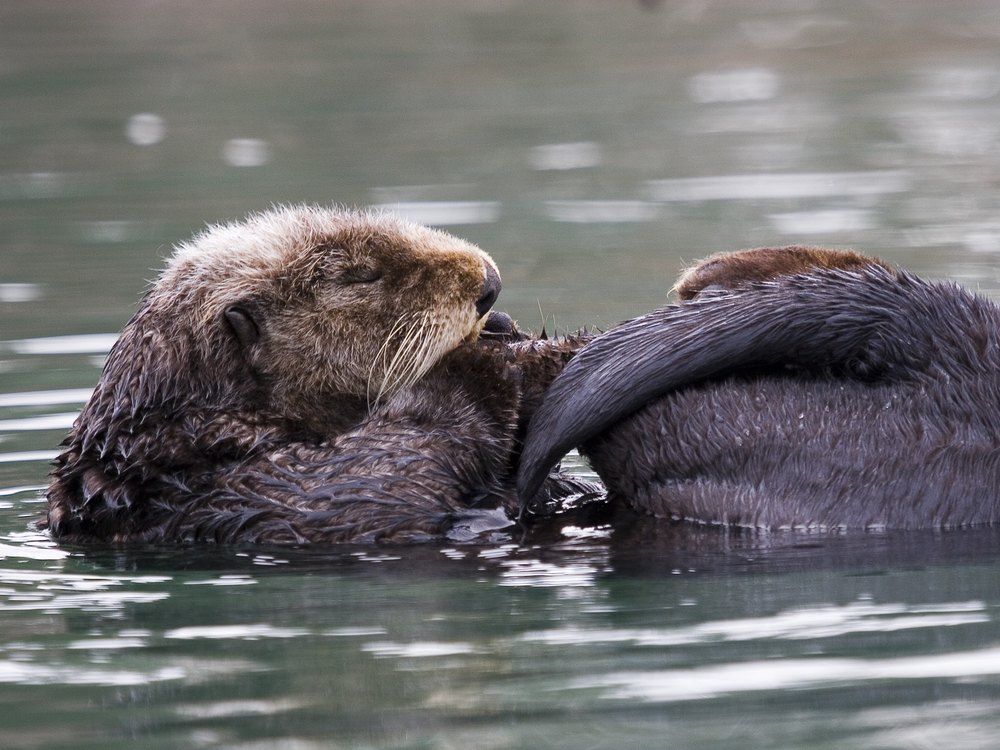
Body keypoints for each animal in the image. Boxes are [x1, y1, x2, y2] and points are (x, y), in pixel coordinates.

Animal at [44, 206, 597, 545]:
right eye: (360, 275)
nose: (490, 283)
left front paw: (520, 337)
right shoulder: (235, 490)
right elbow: (376, 479)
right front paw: (480, 359)